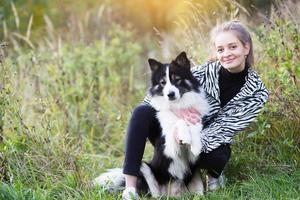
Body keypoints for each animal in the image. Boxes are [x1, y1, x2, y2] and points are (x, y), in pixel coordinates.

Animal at [93, 51, 209, 197]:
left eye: (177, 79)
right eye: (162, 83)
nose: (170, 94)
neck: (178, 105)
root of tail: (175, 194)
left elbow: (195, 128)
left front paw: (196, 145)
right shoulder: (169, 145)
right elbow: (179, 122)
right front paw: (185, 135)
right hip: (145, 168)